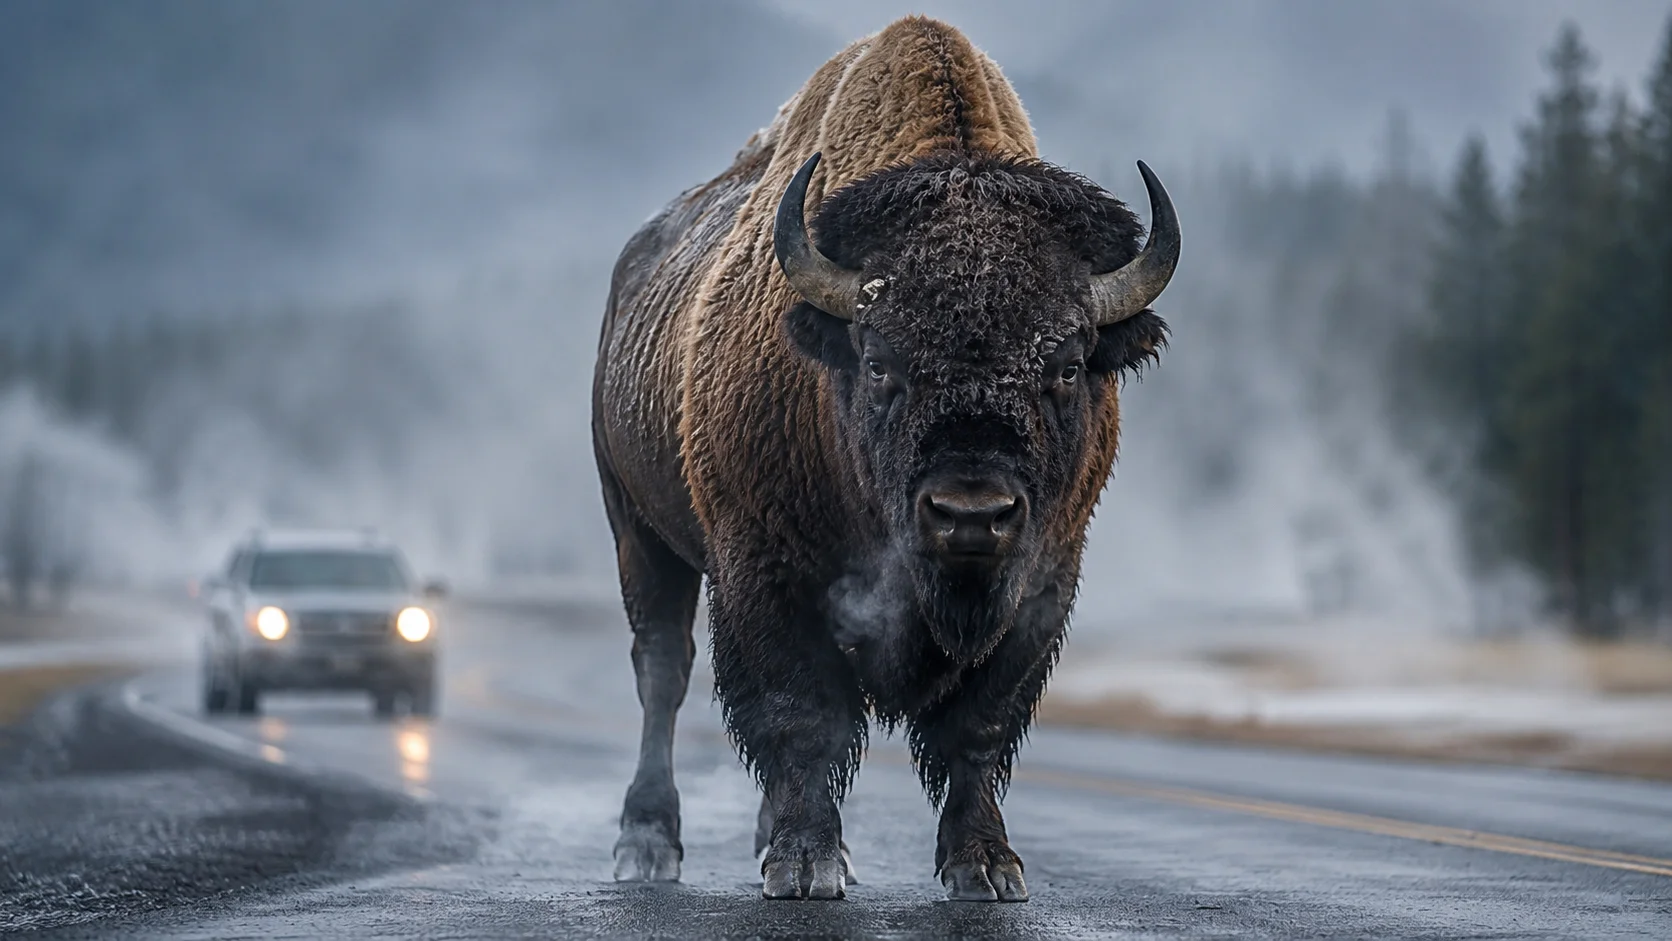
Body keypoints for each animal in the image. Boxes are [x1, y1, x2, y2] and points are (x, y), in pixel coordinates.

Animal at [591, 16, 1179, 901]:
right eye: (879, 362)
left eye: (1069, 364)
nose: (971, 513)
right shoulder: (763, 569)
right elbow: (800, 712)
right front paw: (806, 863)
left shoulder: (1044, 579)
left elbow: (979, 726)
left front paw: (987, 865)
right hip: (639, 532)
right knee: (662, 669)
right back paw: (647, 844)